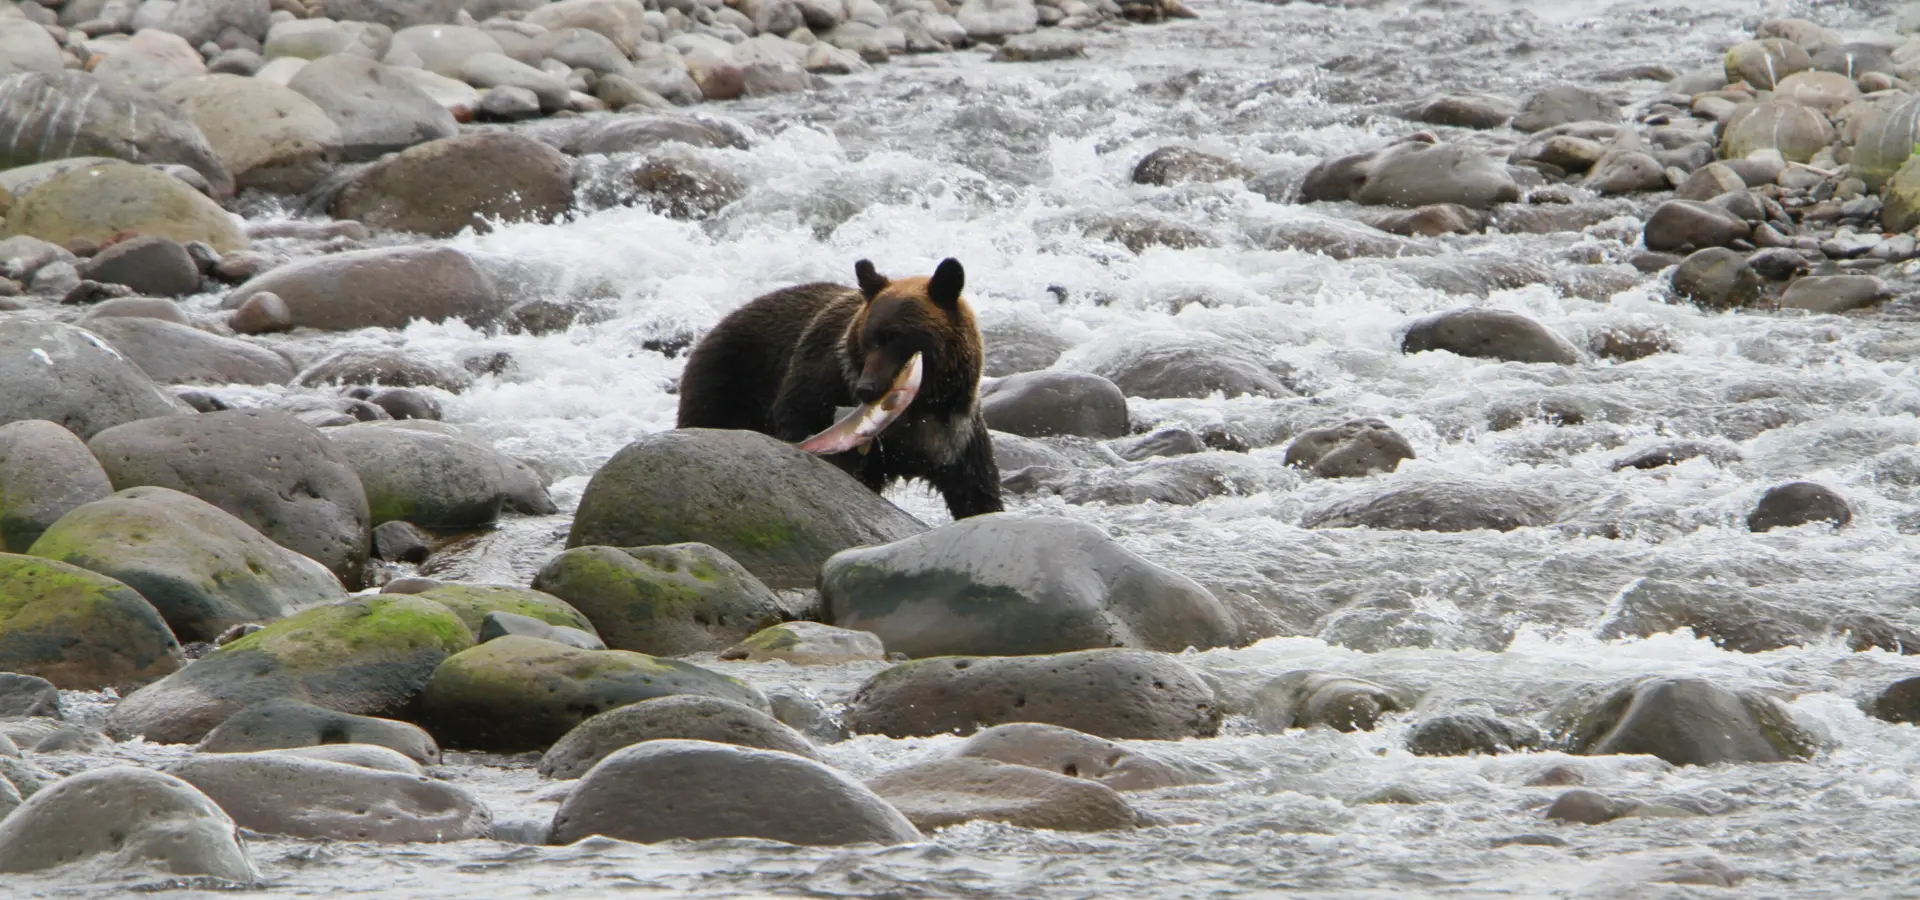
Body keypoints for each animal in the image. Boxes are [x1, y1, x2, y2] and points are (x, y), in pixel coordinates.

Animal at [675, 257, 1005, 520]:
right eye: (869, 339)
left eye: (897, 337)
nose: (866, 388)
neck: (921, 407)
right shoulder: (823, 382)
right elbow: (804, 418)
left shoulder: (954, 434)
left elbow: (976, 492)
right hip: (727, 380)